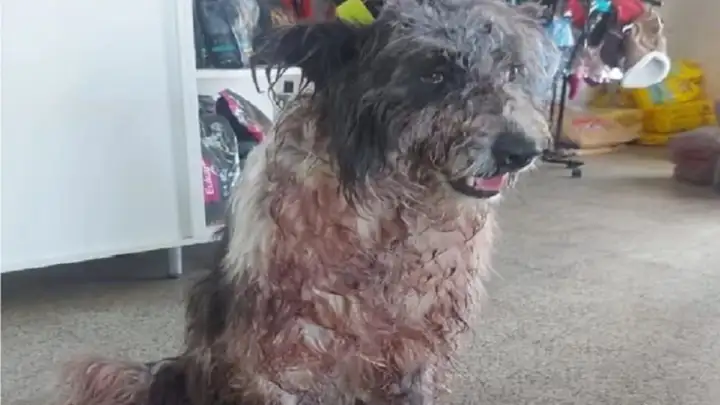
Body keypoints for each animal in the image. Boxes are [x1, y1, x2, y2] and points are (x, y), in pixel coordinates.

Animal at [61, 0, 560, 404]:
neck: (390, 218)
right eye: (434, 74)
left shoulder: (415, 352)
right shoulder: (283, 358)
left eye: (513, 71)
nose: (522, 151)